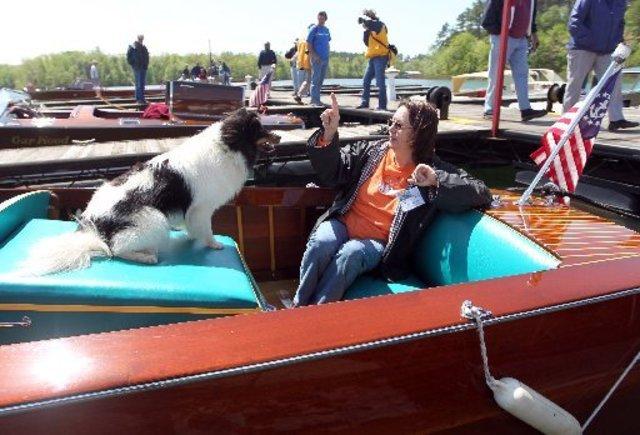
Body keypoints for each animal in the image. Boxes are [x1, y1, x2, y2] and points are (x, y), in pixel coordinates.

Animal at [23, 108, 278, 276]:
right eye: (260, 129)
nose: (278, 135)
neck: (228, 145)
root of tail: (96, 231)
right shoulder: (201, 208)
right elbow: (206, 230)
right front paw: (213, 244)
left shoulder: (192, 211)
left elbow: (192, 227)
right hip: (154, 220)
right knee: (116, 250)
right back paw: (147, 257)